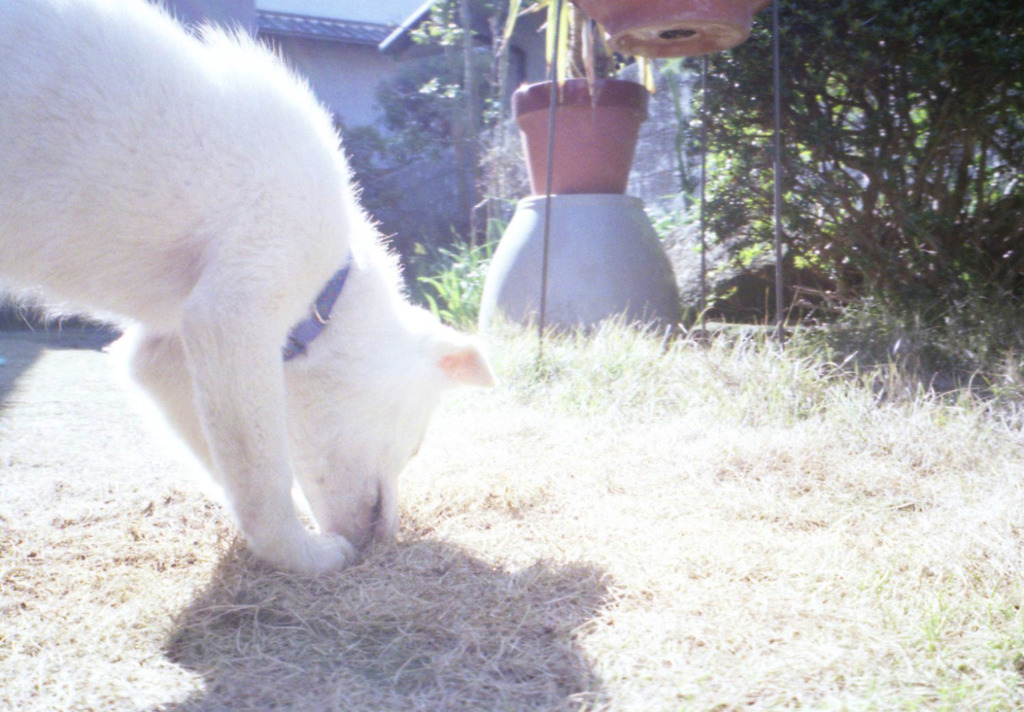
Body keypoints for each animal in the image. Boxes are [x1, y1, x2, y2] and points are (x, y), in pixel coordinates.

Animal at [0, 0, 495, 577]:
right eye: (414, 444)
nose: (384, 541)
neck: (331, 290)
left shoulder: (162, 352)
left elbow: (232, 471)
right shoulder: (233, 314)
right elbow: (264, 480)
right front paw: (303, 555)